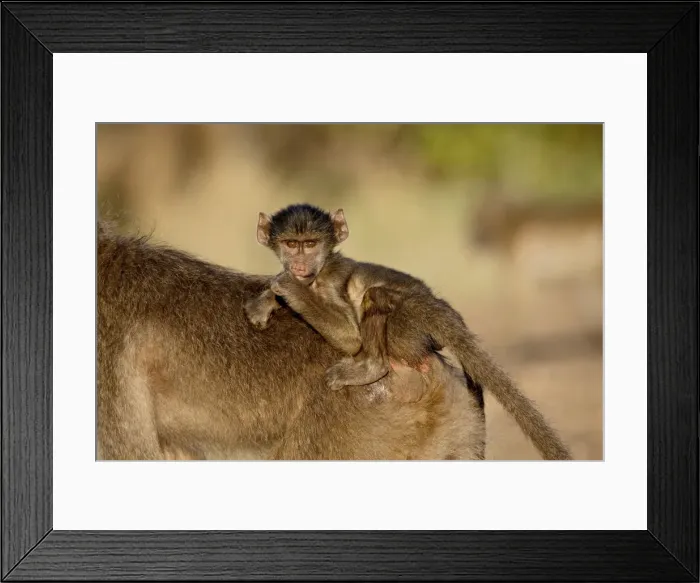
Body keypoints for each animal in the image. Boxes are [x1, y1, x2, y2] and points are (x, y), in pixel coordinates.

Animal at [243, 204, 571, 460]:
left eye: (311, 244)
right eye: (290, 244)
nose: (300, 265)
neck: (317, 274)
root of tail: (439, 307)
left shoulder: (330, 283)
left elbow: (350, 336)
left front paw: (285, 286)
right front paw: (266, 300)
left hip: (407, 324)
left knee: (373, 296)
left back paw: (370, 367)